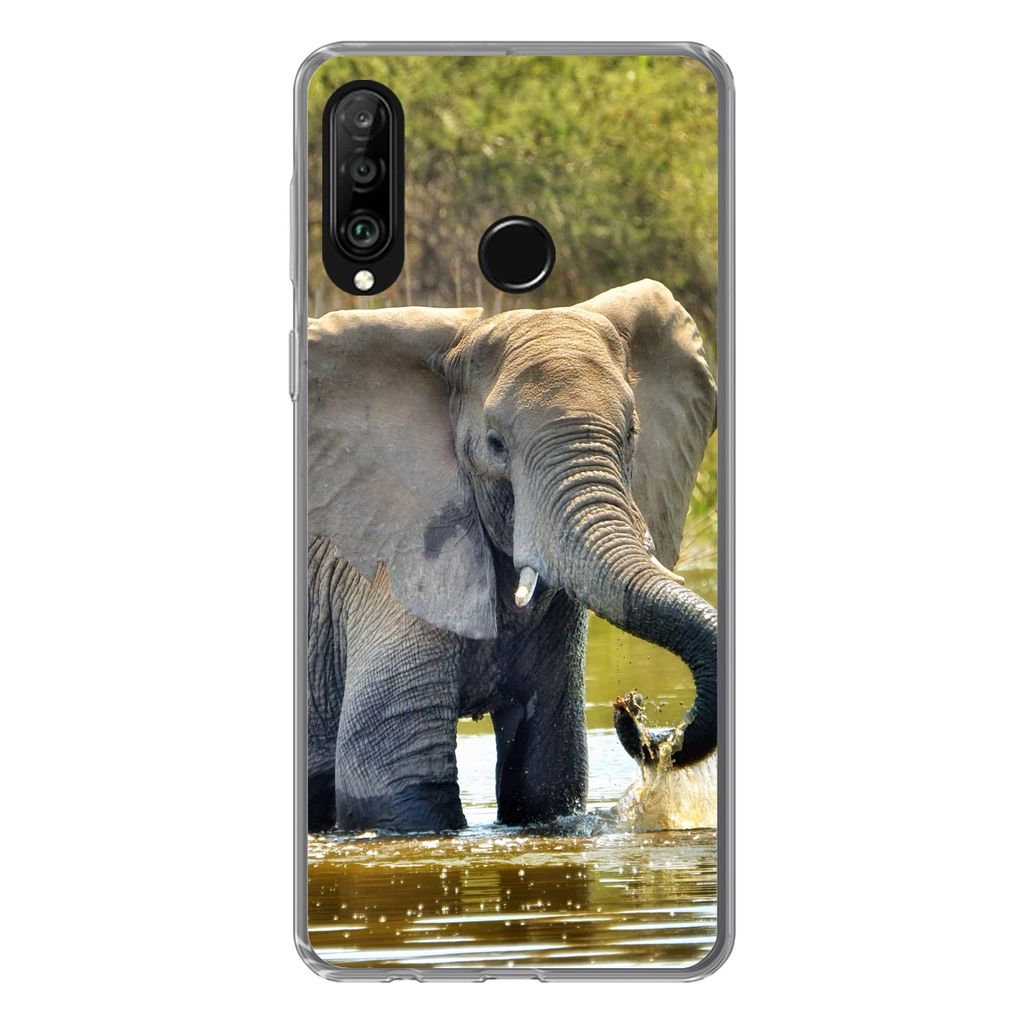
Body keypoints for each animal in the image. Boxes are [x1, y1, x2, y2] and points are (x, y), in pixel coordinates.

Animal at [306, 279, 718, 833]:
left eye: (632, 433)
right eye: (496, 444)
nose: (629, 706)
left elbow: (546, 776)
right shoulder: (387, 568)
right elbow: (397, 783)